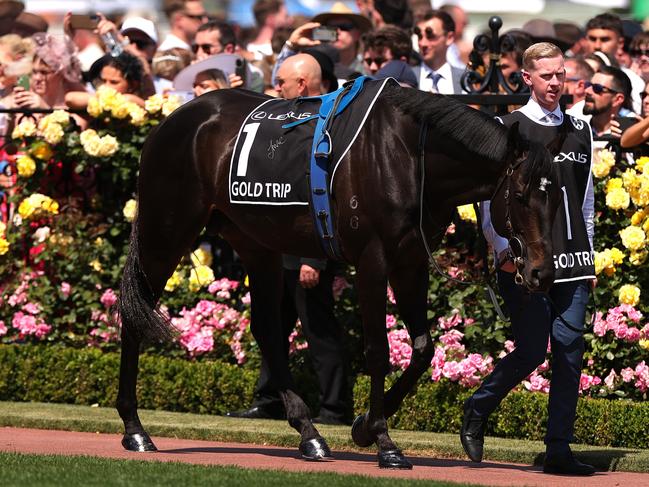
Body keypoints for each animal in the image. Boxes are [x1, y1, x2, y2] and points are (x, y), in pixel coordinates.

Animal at [117, 82, 560, 470]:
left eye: (555, 196)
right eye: (521, 196)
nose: (540, 272)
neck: (408, 155)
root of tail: (172, 119)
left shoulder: (410, 262)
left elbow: (422, 350)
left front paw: (362, 426)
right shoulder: (372, 260)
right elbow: (379, 350)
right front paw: (384, 441)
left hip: (255, 242)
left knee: (267, 329)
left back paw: (308, 433)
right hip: (166, 232)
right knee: (135, 317)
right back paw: (135, 430)